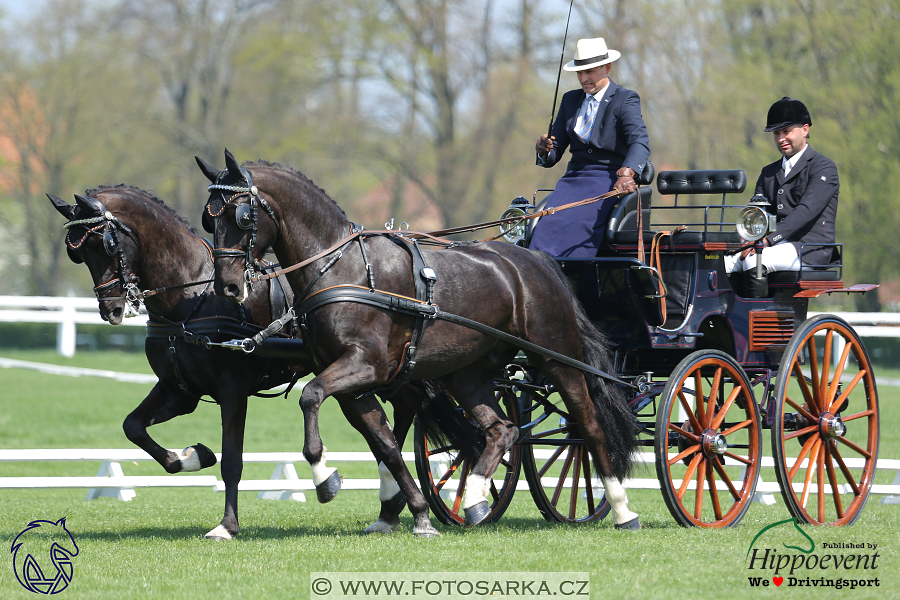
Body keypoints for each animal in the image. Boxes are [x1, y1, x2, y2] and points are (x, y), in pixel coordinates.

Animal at [200, 151, 644, 536]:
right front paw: (414, 514)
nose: (228, 286)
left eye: (242, 216)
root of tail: (538, 262)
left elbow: (311, 397)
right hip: (469, 374)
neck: (343, 270)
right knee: (502, 431)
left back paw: (622, 508)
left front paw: (325, 478)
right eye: (209, 220)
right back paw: (475, 498)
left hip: (559, 359)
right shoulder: (353, 384)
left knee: (588, 426)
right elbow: (386, 446)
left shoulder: (365, 365)